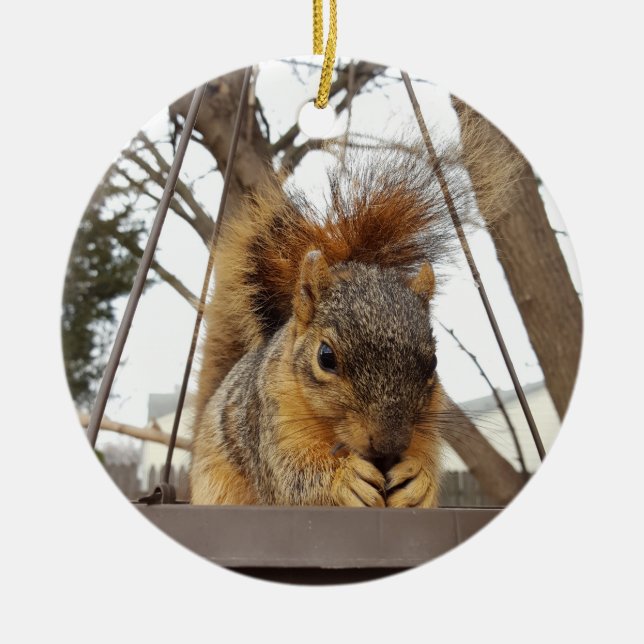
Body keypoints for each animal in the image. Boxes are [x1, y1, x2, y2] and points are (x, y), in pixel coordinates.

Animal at [189, 119, 518, 508]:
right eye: (325, 357)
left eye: (434, 363)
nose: (390, 445)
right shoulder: (271, 421)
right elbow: (290, 479)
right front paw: (344, 479)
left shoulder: (427, 425)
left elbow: (425, 462)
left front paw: (418, 480)